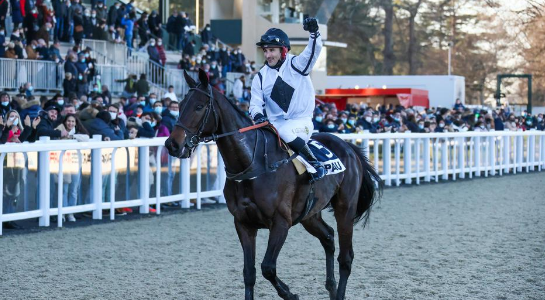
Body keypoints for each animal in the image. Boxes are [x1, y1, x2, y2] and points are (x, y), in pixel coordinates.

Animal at [164, 68, 380, 300]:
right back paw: (330, 287)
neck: (253, 163)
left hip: (345, 208)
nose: (172, 144)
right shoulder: (243, 223)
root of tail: (349, 147)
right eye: (180, 105)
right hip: (309, 214)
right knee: (329, 237)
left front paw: (290, 294)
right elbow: (249, 272)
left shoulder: (281, 222)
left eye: (199, 106)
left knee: (346, 257)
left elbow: (267, 267)